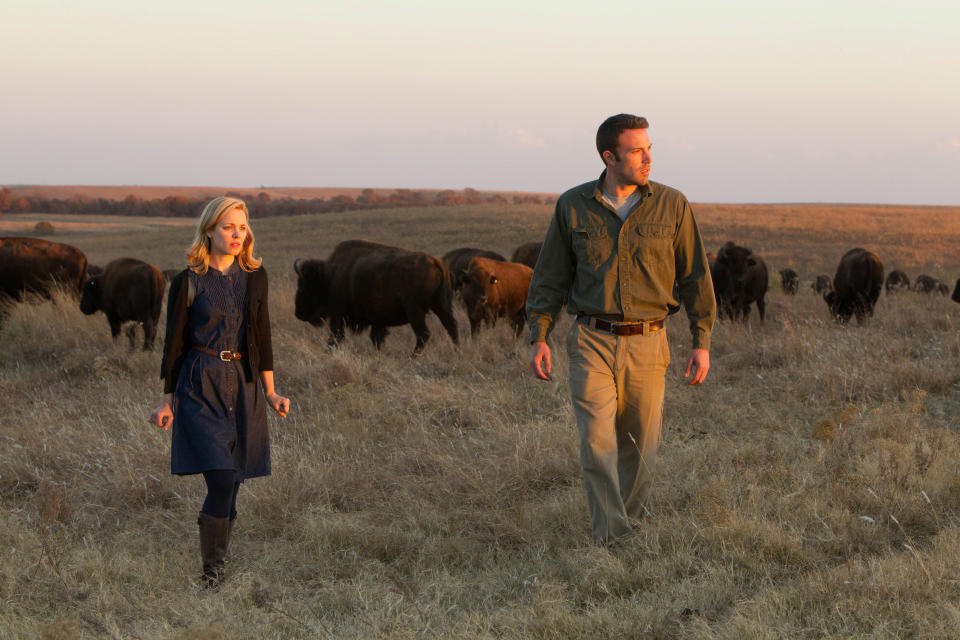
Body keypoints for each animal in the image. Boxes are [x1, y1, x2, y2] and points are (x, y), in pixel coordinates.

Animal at [292, 240, 458, 352]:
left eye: (302, 287)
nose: (298, 313)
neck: (330, 276)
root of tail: (436, 262)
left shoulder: (338, 314)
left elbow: (336, 336)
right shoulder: (378, 320)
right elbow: (376, 338)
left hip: (415, 310)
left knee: (424, 334)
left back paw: (412, 356)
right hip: (440, 305)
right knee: (451, 325)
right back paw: (456, 350)